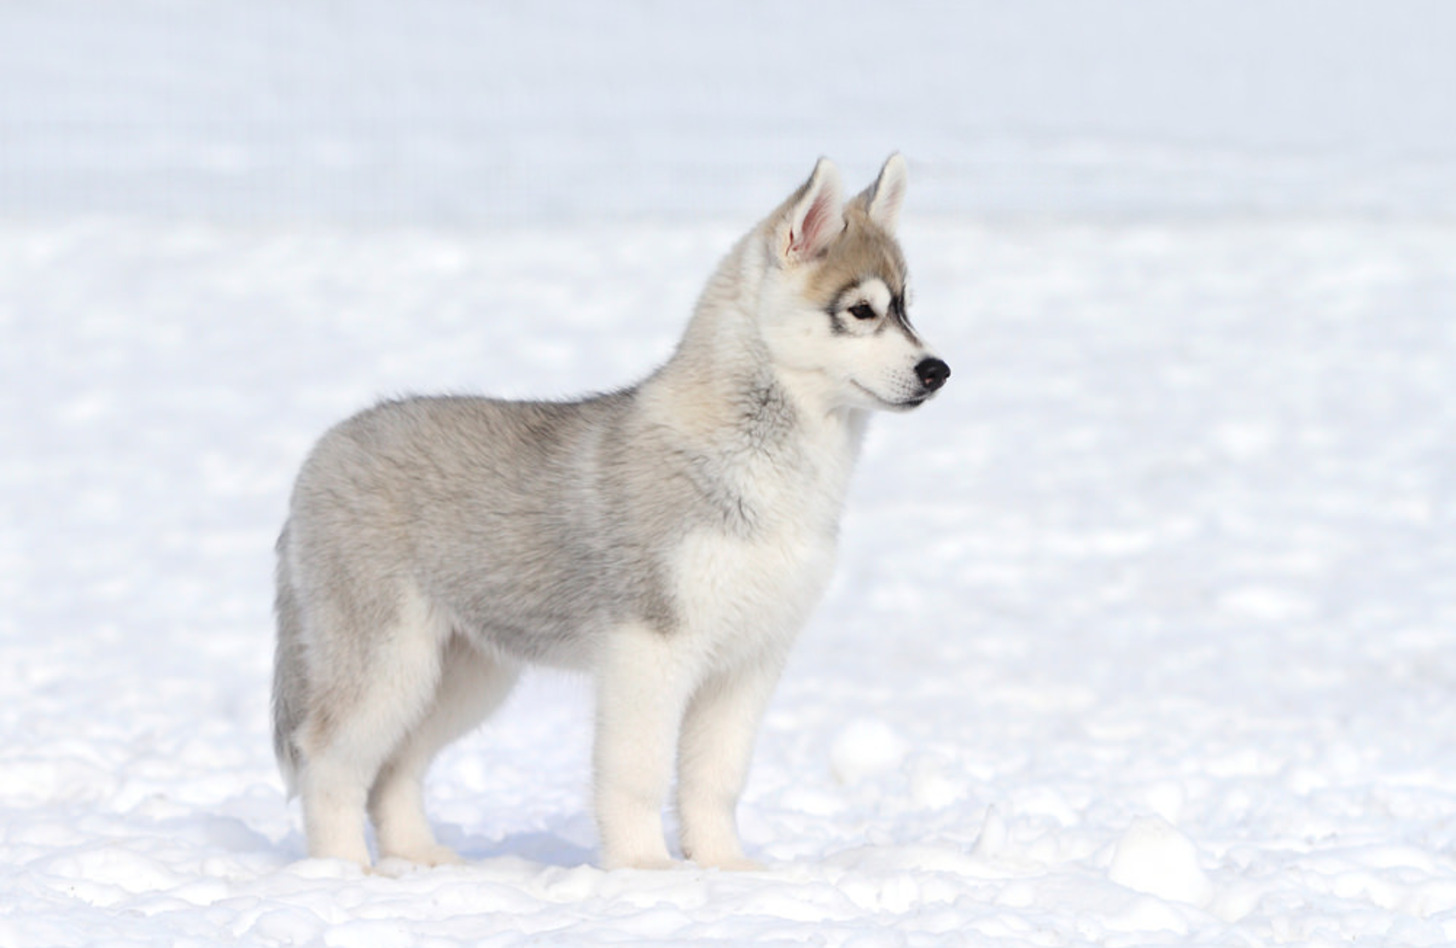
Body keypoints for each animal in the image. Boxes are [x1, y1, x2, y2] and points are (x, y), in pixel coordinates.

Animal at [273, 157, 949, 873]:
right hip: (386, 661)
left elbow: (715, 777)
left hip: (465, 672)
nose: (938, 370)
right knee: (328, 759)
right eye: (860, 310)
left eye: (906, 306)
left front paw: (726, 868)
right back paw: (341, 869)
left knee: (396, 767)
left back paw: (420, 859)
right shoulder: (651, 647)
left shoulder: (749, 660)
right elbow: (638, 772)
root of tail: (324, 449)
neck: (762, 463)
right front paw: (645, 870)